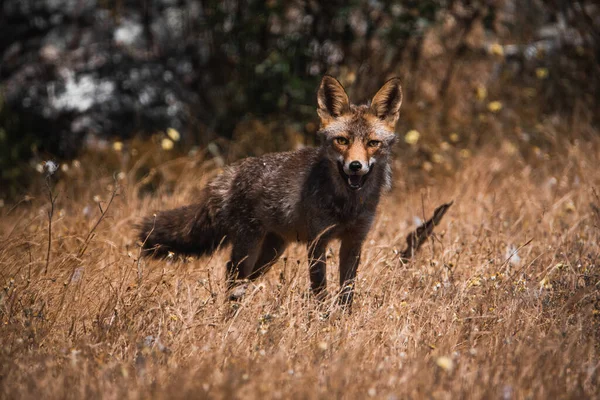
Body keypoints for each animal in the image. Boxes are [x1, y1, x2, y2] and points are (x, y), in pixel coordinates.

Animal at [138, 75, 404, 306]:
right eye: (342, 141)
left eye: (372, 143)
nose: (355, 166)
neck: (347, 204)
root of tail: (232, 171)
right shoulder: (317, 242)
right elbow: (320, 291)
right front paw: (323, 321)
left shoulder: (354, 241)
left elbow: (347, 292)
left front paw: (342, 321)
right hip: (249, 245)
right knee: (232, 274)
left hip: (271, 252)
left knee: (243, 279)